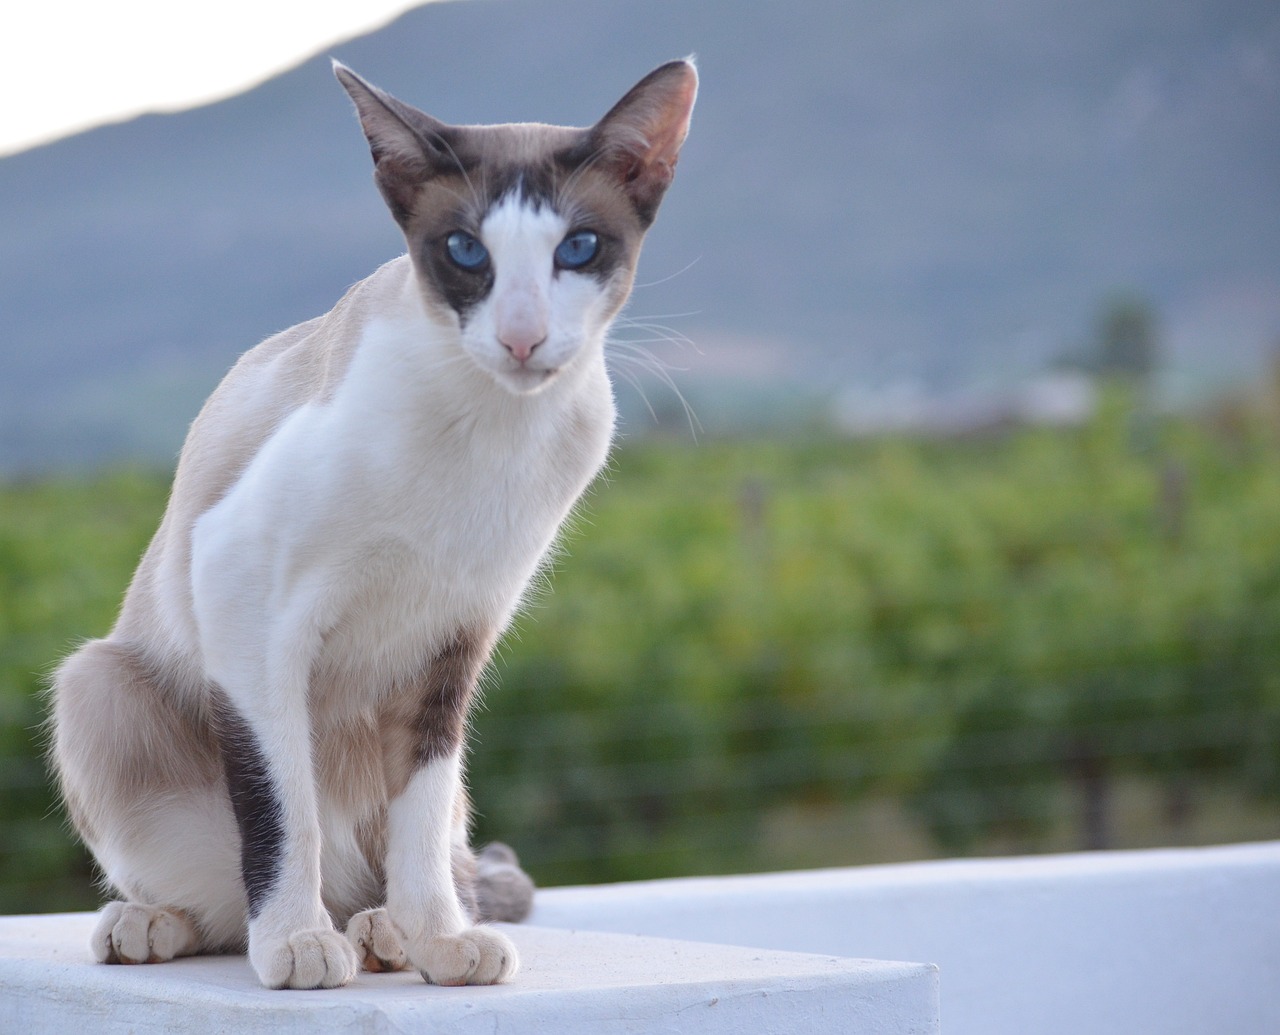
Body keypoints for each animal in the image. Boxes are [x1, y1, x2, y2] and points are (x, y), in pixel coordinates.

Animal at [47, 58, 701, 992]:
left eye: (578, 248)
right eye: (466, 251)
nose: (522, 336)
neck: (487, 431)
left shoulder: (455, 639)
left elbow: (417, 818)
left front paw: (439, 939)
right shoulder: (251, 607)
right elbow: (283, 807)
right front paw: (294, 942)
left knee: (410, 855)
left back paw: (386, 931)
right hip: (96, 681)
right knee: (224, 892)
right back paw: (169, 924)